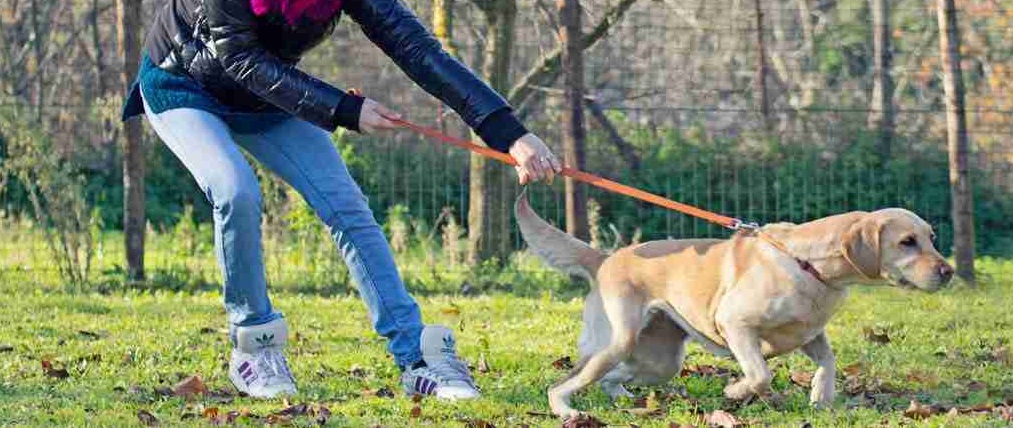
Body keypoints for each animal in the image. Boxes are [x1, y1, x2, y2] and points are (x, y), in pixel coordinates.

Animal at [518, 192, 952, 418]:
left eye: (931, 238)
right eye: (907, 242)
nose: (948, 272)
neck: (808, 264)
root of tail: (605, 258)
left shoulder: (811, 334)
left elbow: (828, 362)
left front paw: (820, 397)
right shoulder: (735, 324)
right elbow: (760, 373)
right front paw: (735, 392)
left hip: (659, 360)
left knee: (611, 377)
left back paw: (625, 399)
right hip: (617, 340)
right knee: (565, 383)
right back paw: (565, 411)